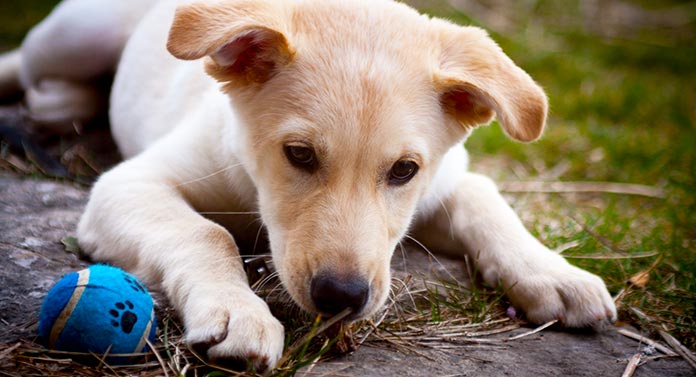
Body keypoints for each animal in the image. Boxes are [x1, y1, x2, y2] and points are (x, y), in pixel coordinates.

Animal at [1, 0, 620, 370]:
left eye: (404, 171)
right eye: (299, 155)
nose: (341, 299)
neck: (253, 186)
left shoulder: (447, 179)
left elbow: (486, 201)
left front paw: (551, 270)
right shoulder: (129, 183)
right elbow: (206, 233)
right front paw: (237, 310)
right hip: (79, 32)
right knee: (26, 62)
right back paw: (57, 99)